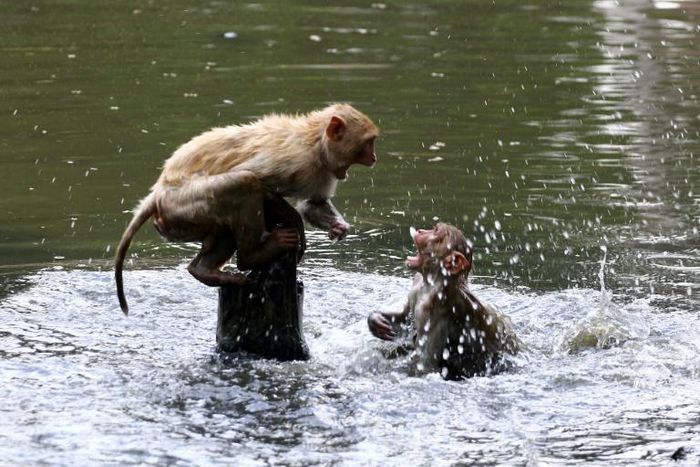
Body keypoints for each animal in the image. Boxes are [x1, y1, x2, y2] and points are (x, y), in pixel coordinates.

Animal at [115, 103, 379, 315]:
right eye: (368, 143)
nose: (374, 158)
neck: (315, 143)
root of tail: (158, 192)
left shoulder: (322, 172)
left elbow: (313, 204)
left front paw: (338, 226)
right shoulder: (296, 159)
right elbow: (261, 183)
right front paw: (295, 223)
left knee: (223, 227)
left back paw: (203, 270)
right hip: (184, 205)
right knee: (244, 184)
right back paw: (252, 256)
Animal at [367, 223, 520, 380]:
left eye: (436, 231)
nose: (420, 231)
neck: (432, 282)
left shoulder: (433, 309)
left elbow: (425, 364)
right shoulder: (416, 286)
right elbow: (405, 317)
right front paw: (376, 321)